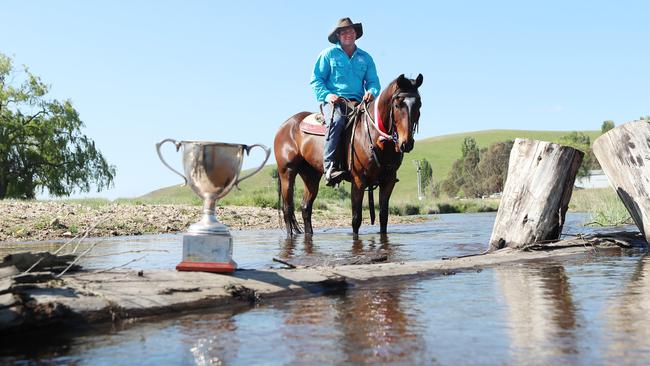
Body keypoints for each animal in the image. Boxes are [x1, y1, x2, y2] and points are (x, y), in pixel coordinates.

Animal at [272, 73, 420, 236]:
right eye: (397, 105)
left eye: (418, 104)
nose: (406, 143)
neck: (375, 136)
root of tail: (285, 126)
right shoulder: (358, 180)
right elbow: (356, 219)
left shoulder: (389, 180)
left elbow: (383, 217)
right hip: (287, 172)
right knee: (287, 209)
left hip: (311, 175)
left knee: (305, 208)